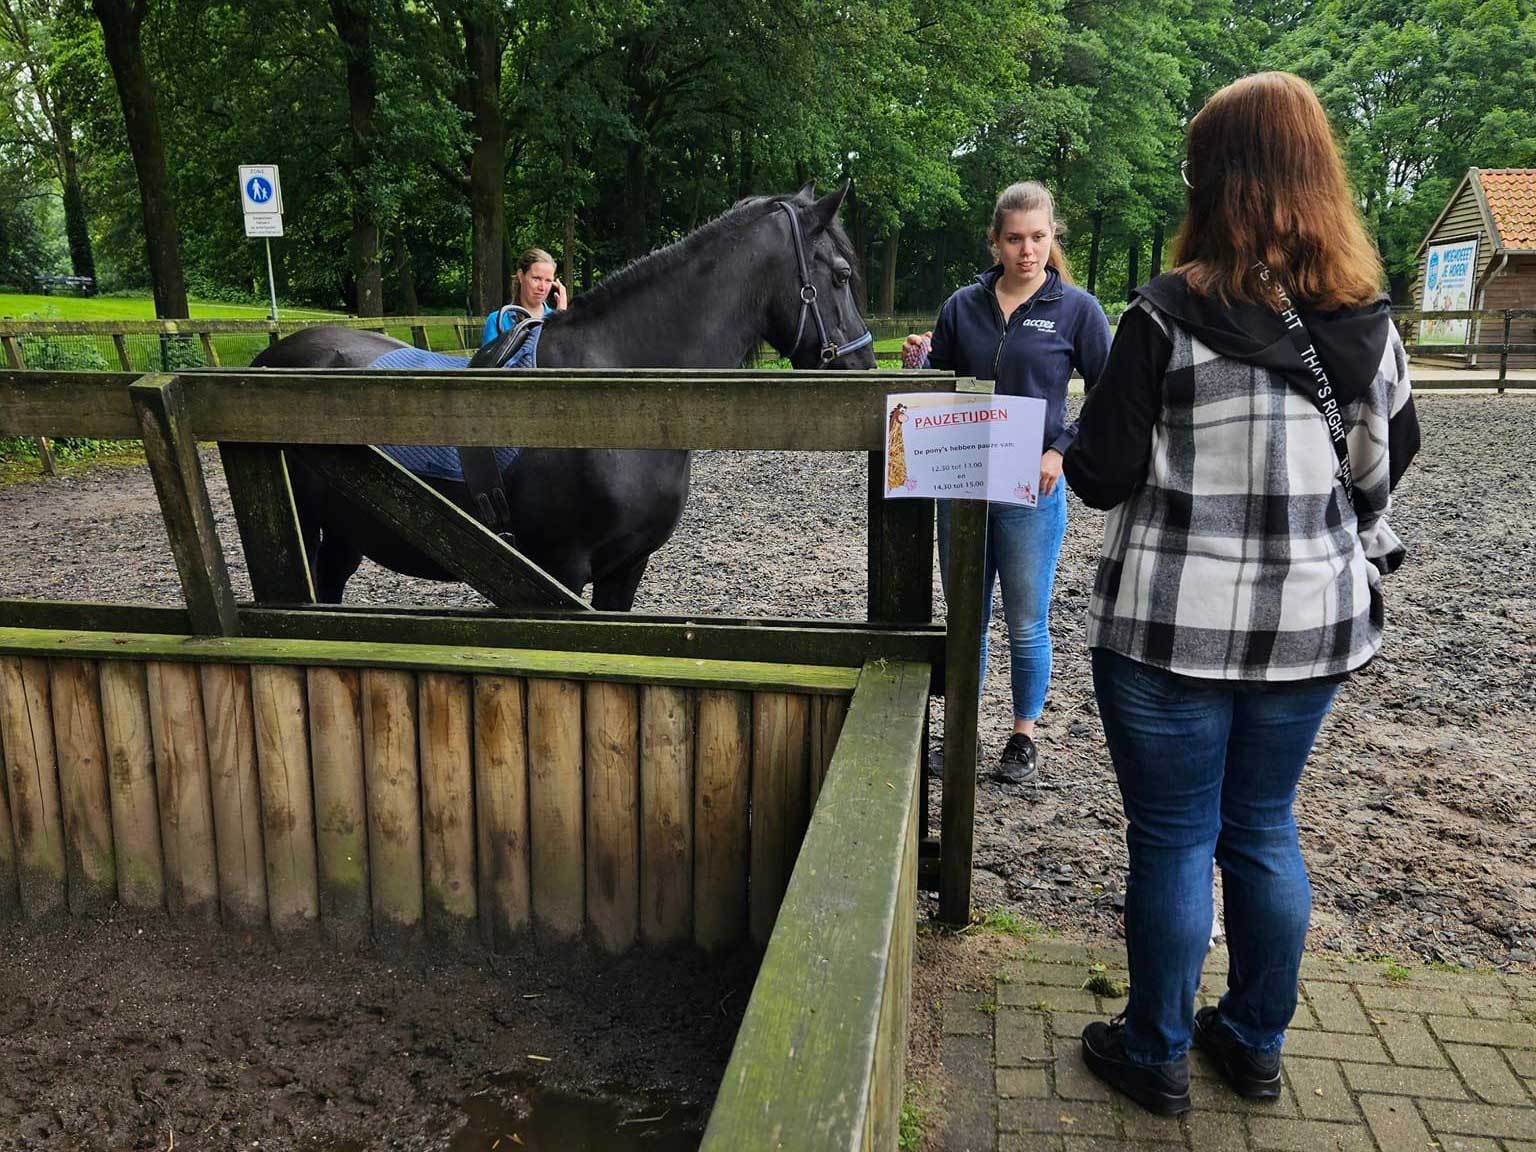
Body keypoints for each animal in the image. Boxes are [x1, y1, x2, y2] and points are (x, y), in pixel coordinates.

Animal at [254, 183, 878, 608]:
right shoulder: (558, 569)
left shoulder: (625, 567)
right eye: (842, 274)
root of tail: (269, 359)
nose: (866, 366)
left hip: (345, 532)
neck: (611, 386)